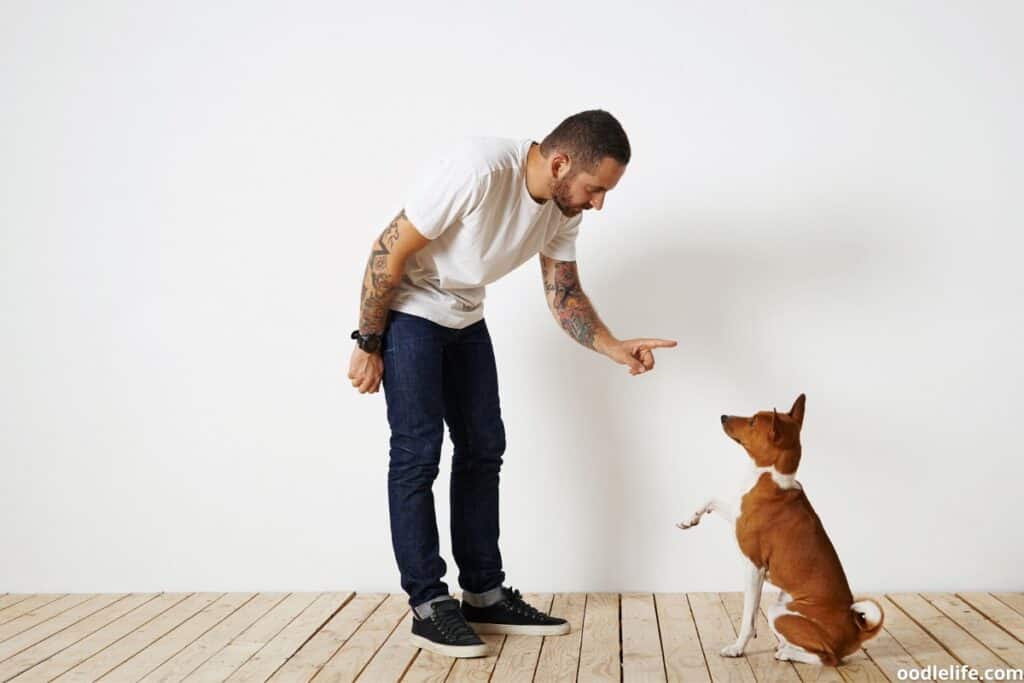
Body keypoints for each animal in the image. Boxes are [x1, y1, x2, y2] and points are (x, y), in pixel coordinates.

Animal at [675, 395, 884, 667]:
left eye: (752, 421)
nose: (723, 416)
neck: (771, 477)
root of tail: (856, 631)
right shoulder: (737, 513)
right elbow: (711, 498)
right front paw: (688, 520)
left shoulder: (754, 567)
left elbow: (748, 618)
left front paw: (737, 648)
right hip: (783, 600)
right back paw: (785, 646)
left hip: (779, 612)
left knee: (829, 658)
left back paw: (787, 652)